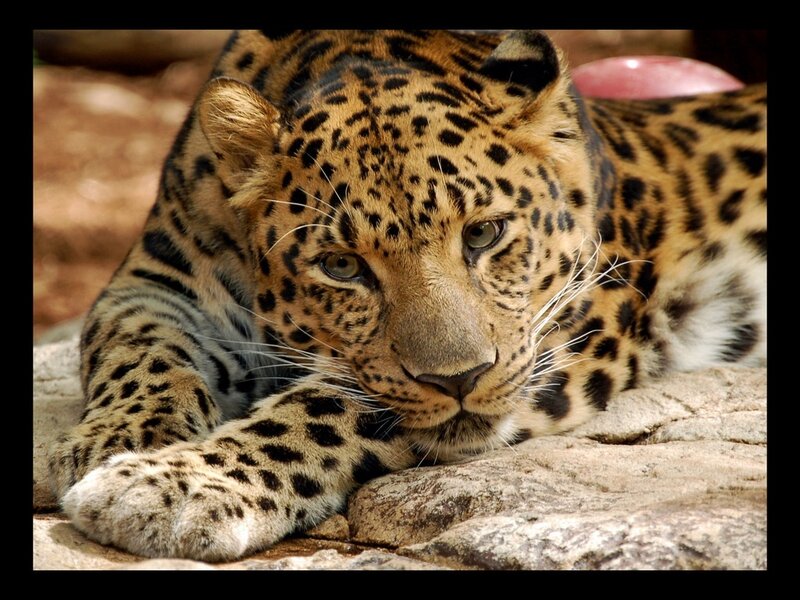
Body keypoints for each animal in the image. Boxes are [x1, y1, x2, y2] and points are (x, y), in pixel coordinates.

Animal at [47, 30, 767, 562]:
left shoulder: (572, 321)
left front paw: (171, 484)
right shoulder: (157, 280)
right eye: (341, 266)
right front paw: (120, 437)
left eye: (484, 233)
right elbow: (138, 348)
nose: (461, 379)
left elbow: (323, 408)